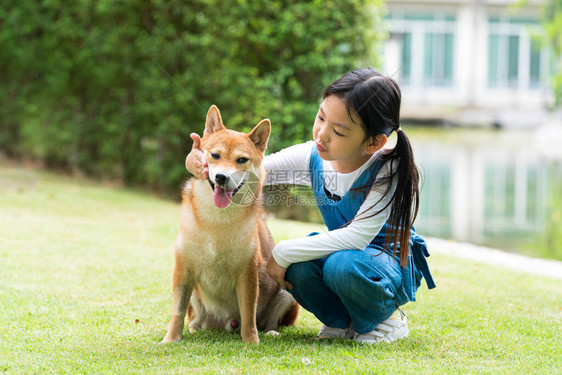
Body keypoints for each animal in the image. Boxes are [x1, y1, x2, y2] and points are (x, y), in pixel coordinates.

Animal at [162, 105, 300, 344]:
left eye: (242, 160)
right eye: (215, 155)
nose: (221, 177)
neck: (217, 221)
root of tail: (225, 324)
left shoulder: (247, 274)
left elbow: (248, 314)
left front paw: (251, 342)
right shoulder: (183, 270)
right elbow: (177, 312)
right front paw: (170, 340)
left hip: (286, 292)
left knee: (266, 321)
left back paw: (269, 332)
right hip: (196, 296)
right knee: (195, 319)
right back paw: (195, 329)